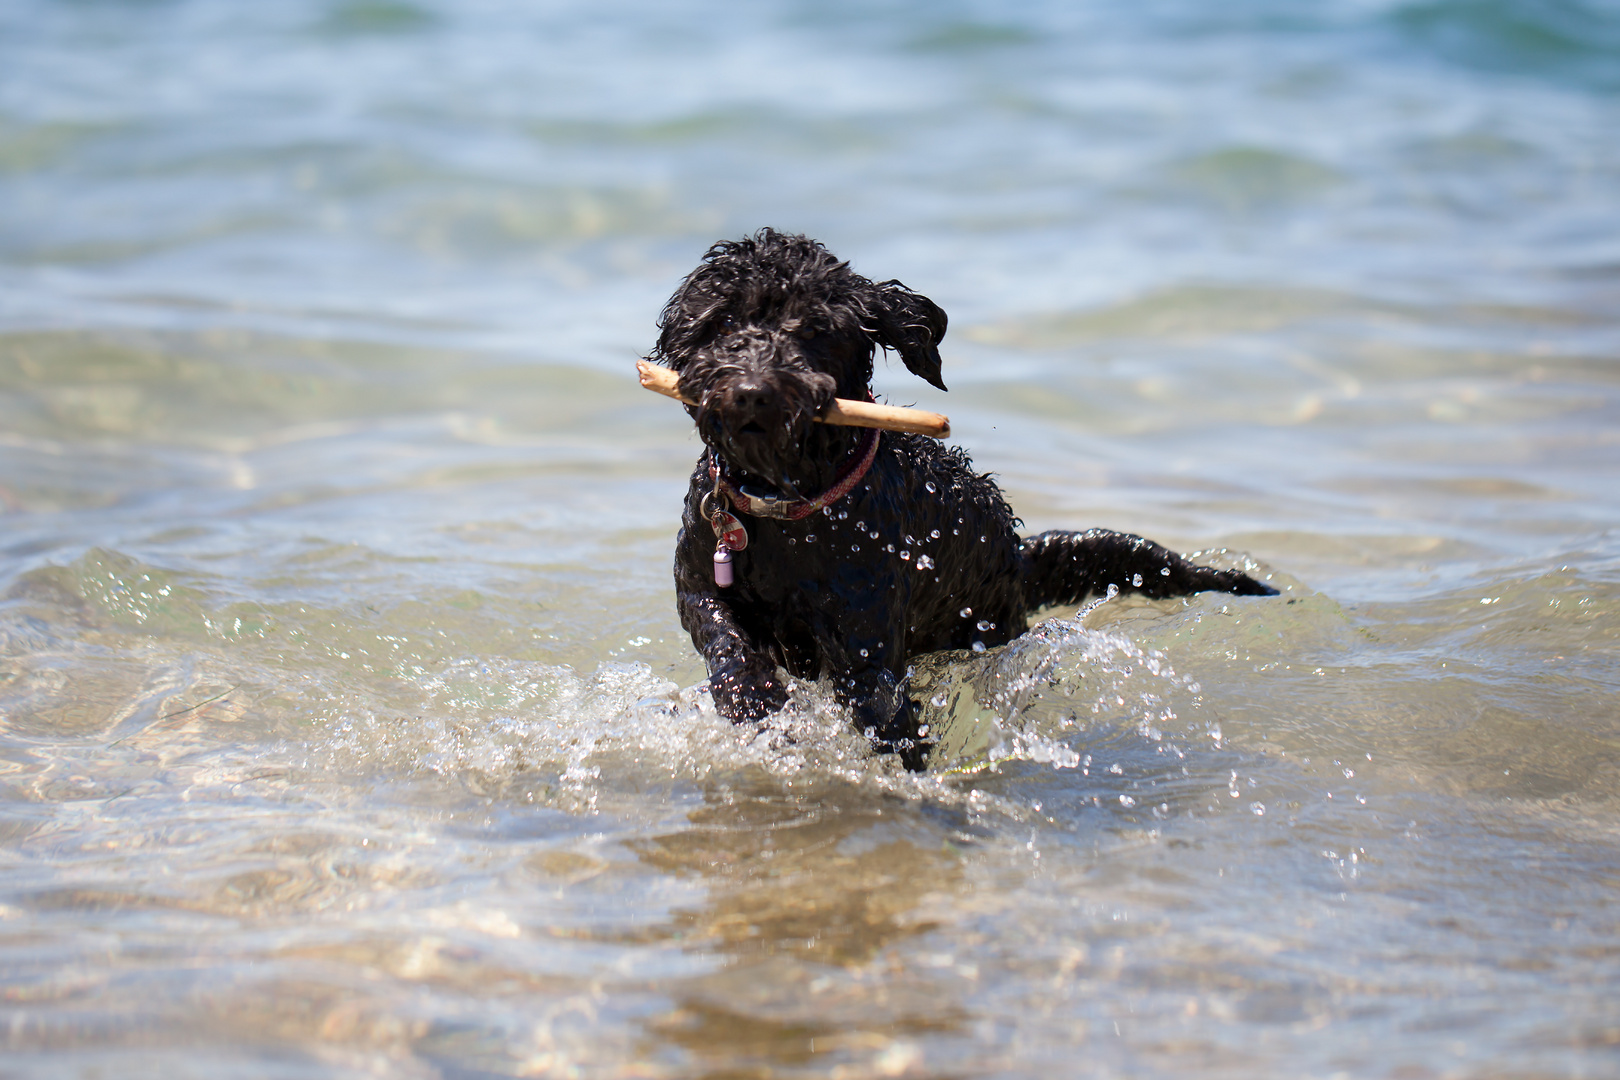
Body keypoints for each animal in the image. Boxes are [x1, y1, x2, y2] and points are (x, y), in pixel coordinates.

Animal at [648, 228, 1276, 767]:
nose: (752, 391)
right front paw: (753, 701)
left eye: (815, 328)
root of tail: (1017, 557)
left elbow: (881, 710)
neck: (788, 507)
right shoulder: (700, 580)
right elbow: (722, 634)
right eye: (723, 320)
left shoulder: (865, 634)